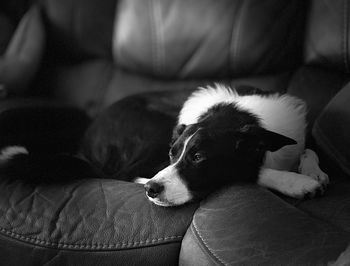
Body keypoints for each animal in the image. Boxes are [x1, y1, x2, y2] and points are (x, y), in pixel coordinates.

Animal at [0, 84, 328, 207]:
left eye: (198, 157)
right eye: (172, 153)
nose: (152, 190)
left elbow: (309, 149)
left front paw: (313, 172)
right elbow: (250, 171)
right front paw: (296, 182)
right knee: (125, 174)